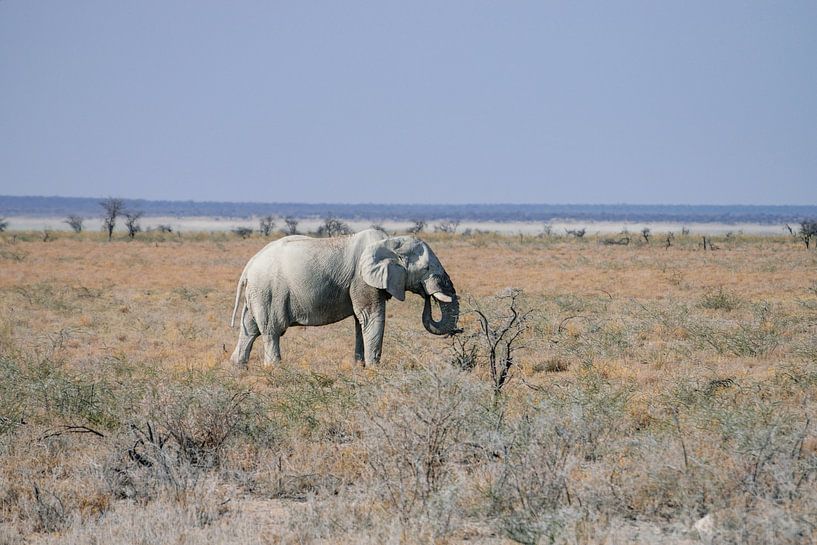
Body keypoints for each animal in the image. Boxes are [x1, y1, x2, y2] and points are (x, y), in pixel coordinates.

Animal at [229, 228, 460, 366]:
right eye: (427, 268)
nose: (458, 331)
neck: (390, 241)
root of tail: (249, 266)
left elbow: (361, 322)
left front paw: (359, 367)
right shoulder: (362, 280)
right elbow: (372, 317)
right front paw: (374, 370)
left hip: (258, 293)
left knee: (249, 329)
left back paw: (237, 368)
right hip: (268, 291)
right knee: (271, 332)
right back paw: (275, 370)